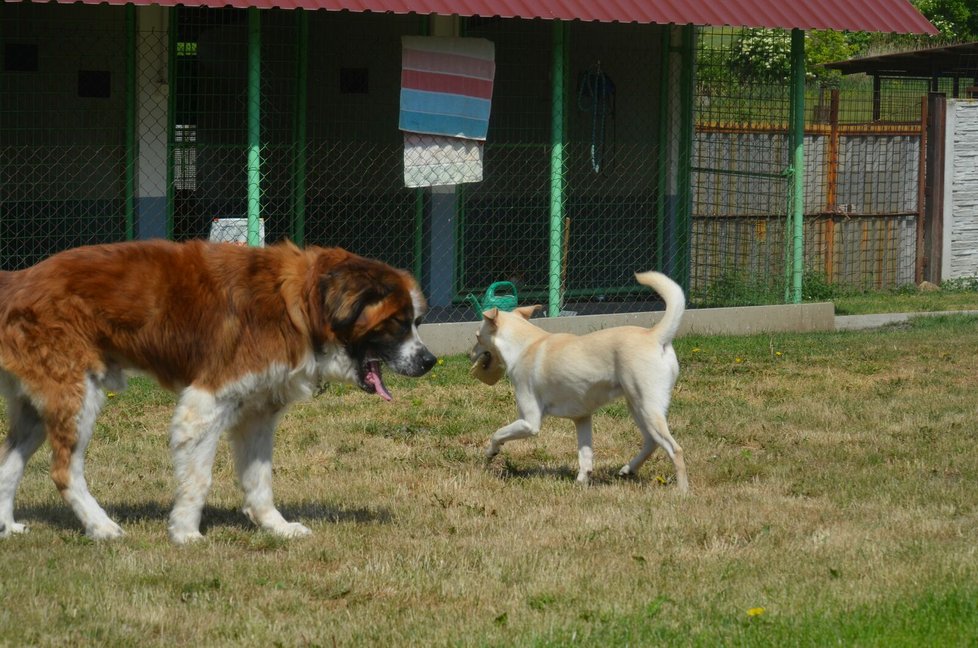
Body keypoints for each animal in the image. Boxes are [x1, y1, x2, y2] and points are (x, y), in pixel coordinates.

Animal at [0, 238, 434, 540]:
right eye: (398, 323)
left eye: (416, 321)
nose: (429, 361)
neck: (300, 305)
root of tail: (18, 278)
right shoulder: (206, 402)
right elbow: (199, 479)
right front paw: (186, 532)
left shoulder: (259, 412)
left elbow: (260, 481)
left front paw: (276, 527)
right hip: (77, 396)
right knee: (64, 471)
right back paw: (102, 527)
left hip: (38, 409)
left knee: (8, 465)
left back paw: (9, 528)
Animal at [470, 272, 688, 492]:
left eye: (477, 337)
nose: (469, 355)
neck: (525, 344)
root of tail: (655, 335)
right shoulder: (582, 418)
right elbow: (585, 455)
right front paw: (581, 482)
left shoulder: (529, 422)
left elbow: (498, 433)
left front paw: (491, 452)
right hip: (636, 406)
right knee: (652, 442)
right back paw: (629, 469)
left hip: (646, 406)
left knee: (675, 449)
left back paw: (682, 491)